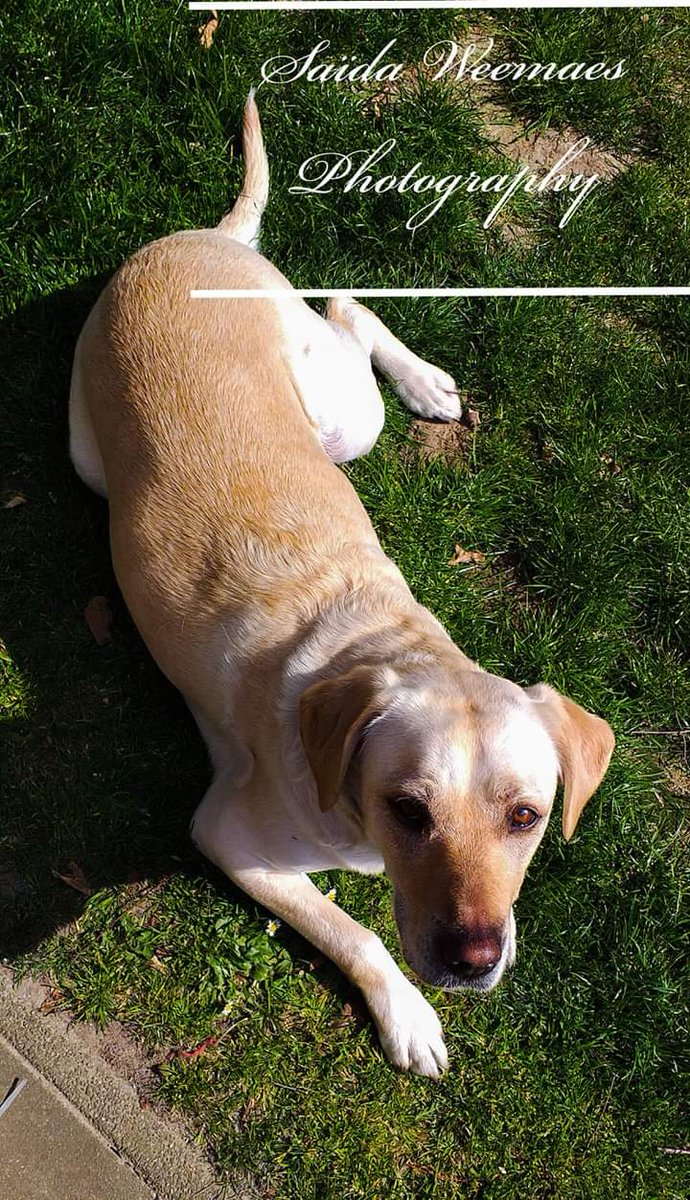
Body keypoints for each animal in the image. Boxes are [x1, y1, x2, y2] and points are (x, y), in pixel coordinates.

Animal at [67, 98, 612, 1084]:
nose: (472, 959)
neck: (378, 647)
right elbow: (352, 929)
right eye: (408, 809)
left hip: (339, 419)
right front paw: (407, 1013)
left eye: (525, 816)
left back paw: (426, 380)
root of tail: (204, 237)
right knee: (343, 305)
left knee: (346, 309)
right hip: (101, 454)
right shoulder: (226, 834)